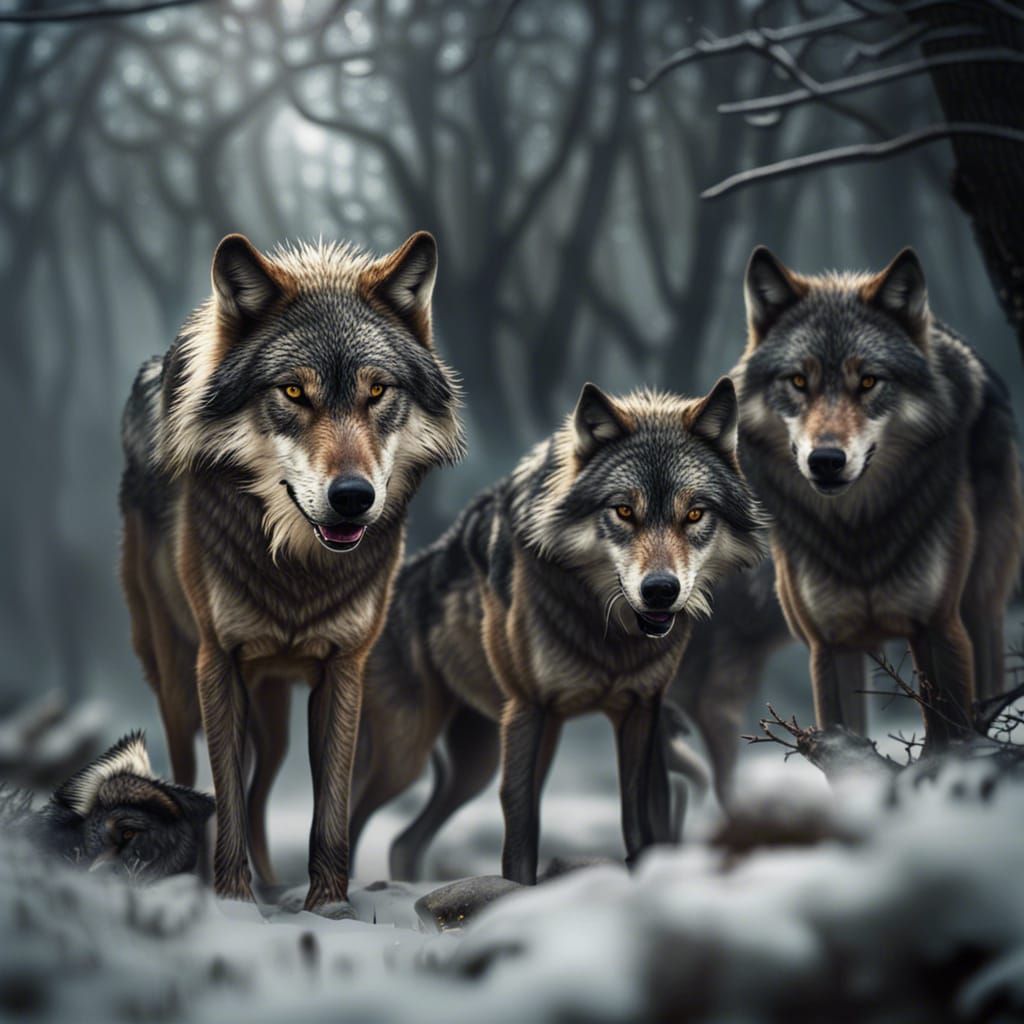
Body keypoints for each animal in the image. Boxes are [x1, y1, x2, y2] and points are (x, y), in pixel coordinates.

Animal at [119, 231, 464, 910]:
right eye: (294, 392)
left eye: (377, 392)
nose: (353, 497)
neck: (299, 570)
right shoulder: (217, 662)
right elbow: (220, 793)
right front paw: (231, 900)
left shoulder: (345, 666)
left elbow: (330, 804)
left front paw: (326, 905)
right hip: (176, 676)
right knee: (193, 774)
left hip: (273, 709)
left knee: (258, 792)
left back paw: (272, 881)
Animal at [336, 379, 766, 883]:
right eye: (623, 511)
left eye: (695, 514)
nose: (661, 591)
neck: (608, 632)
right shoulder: (530, 710)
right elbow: (522, 831)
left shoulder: (642, 711)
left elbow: (642, 821)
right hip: (407, 754)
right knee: (351, 816)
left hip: (474, 763)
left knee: (404, 841)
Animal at [734, 246, 1023, 746]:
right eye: (798, 381)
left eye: (868, 381)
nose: (826, 460)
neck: (858, 533)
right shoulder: (829, 646)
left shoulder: (938, 628)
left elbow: (949, 743)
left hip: (982, 608)